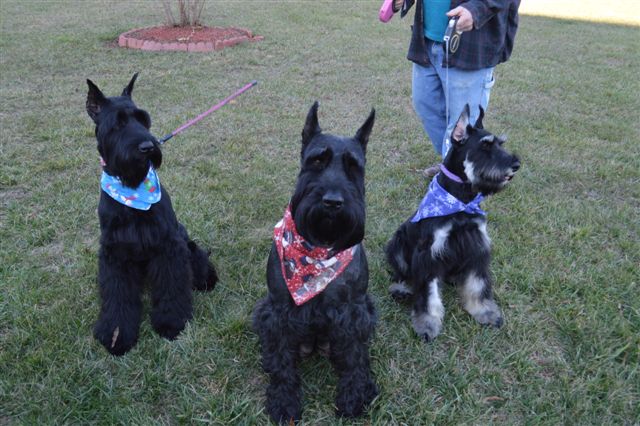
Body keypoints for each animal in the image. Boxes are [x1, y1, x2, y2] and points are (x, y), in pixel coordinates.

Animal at [85, 74, 218, 356]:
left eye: (143, 119)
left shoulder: (168, 245)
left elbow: (171, 285)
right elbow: (117, 294)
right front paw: (116, 334)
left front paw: (171, 323)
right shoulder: (114, 252)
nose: (148, 146)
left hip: (187, 244)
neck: (132, 191)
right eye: (117, 124)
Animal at [251, 102, 378, 422]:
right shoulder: (279, 311)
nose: (333, 201)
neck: (318, 251)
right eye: (317, 161)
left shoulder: (353, 311)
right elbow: (282, 360)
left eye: (353, 167)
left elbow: (355, 355)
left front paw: (354, 395)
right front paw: (284, 401)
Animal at [384, 106, 520, 342]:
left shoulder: (477, 245)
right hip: (398, 242)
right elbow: (428, 292)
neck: (461, 199)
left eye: (500, 144)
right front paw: (427, 324)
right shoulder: (429, 252)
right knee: (403, 273)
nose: (516, 165)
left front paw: (485, 312)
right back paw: (402, 290)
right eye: (485, 145)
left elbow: (478, 284)